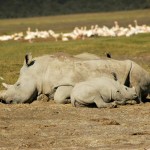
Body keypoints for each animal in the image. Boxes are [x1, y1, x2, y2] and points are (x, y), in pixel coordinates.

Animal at [0, 52, 149, 103]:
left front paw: (63, 100)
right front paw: (42, 98)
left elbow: (59, 97)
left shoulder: (67, 83)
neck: (39, 73)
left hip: (136, 68)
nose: (4, 100)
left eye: (18, 85)